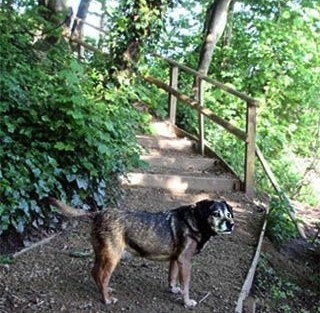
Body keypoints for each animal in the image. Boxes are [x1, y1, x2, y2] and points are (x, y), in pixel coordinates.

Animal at [46, 196, 234, 306]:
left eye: (229, 214)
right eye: (216, 213)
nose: (231, 224)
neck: (195, 221)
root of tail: (98, 213)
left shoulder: (176, 259)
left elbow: (172, 277)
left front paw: (173, 290)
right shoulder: (185, 261)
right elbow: (186, 285)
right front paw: (187, 302)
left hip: (101, 253)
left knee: (95, 273)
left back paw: (105, 291)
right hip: (112, 257)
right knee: (102, 276)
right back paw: (106, 299)